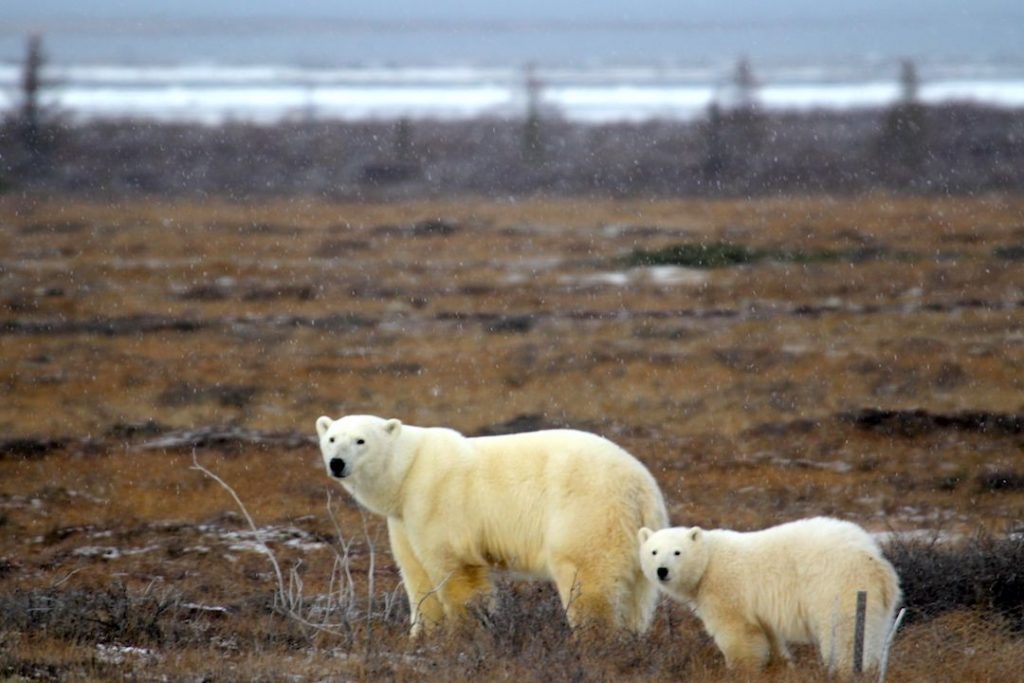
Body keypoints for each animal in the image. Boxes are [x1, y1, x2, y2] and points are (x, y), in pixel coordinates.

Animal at [315, 413, 667, 638]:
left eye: (360, 440)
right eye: (331, 438)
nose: (337, 463)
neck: (408, 470)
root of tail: (639, 486)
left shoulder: (436, 500)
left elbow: (454, 569)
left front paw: (466, 632)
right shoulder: (403, 518)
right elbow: (415, 573)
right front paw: (422, 635)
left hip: (587, 513)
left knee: (588, 579)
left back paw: (595, 640)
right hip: (636, 535)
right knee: (637, 592)